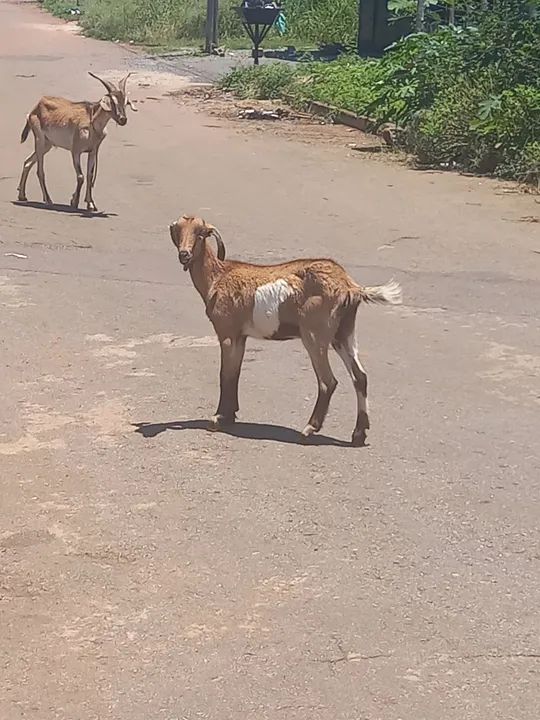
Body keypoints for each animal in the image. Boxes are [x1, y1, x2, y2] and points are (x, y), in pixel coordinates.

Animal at [17, 72, 136, 212]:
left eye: (125, 102)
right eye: (112, 102)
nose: (123, 119)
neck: (91, 123)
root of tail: (34, 110)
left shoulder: (93, 151)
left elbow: (90, 175)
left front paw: (91, 204)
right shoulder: (75, 151)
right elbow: (80, 176)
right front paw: (74, 202)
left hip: (47, 144)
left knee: (27, 162)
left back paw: (22, 195)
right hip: (39, 139)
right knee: (39, 171)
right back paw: (48, 200)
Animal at [169, 215, 403, 446]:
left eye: (200, 234)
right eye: (178, 232)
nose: (184, 254)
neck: (218, 276)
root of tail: (350, 287)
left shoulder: (226, 332)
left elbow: (225, 374)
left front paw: (218, 418)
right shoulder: (240, 336)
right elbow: (235, 373)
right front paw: (230, 415)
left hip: (314, 334)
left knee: (328, 381)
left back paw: (309, 430)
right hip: (343, 332)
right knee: (360, 377)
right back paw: (358, 434)